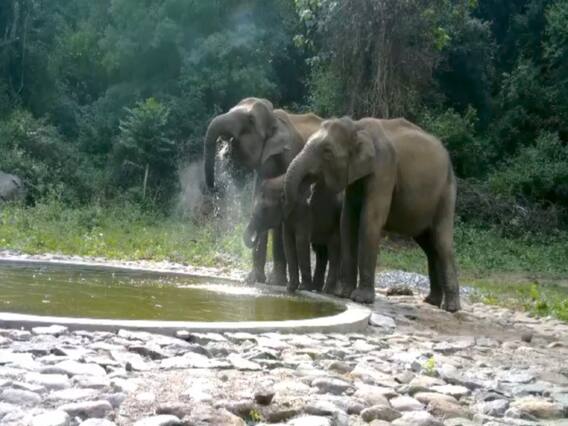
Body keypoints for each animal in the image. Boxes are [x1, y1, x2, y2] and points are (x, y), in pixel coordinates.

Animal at [203, 97, 323, 285]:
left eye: (251, 120)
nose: (214, 187)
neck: (275, 120)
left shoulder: (290, 156)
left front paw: (276, 282)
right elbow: (259, 200)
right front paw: (253, 280)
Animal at [284, 117, 461, 312]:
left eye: (327, 151)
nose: (294, 290)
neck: (357, 126)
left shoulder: (384, 169)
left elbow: (370, 220)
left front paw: (361, 298)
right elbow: (347, 221)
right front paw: (343, 294)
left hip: (446, 193)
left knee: (441, 242)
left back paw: (450, 307)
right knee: (430, 246)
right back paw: (432, 301)